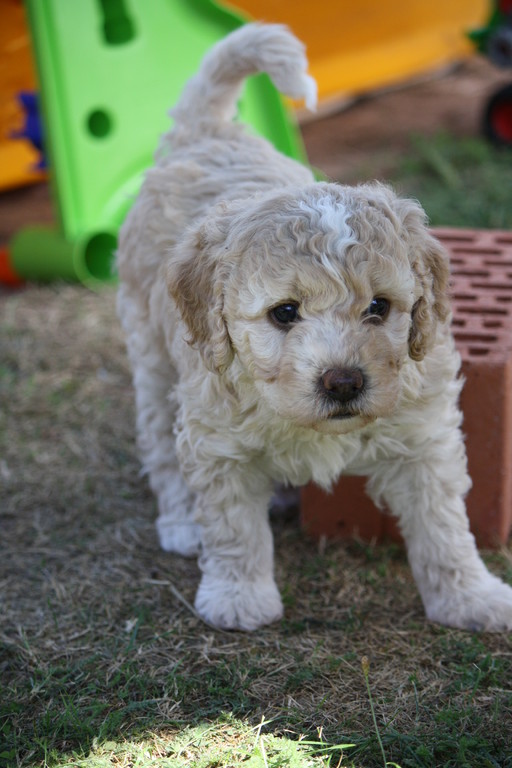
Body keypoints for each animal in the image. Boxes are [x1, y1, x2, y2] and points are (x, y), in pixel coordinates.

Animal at [118, 27, 512, 632]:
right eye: (284, 312)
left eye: (379, 306)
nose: (344, 381)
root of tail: (205, 133)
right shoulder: (218, 437)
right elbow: (234, 528)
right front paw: (238, 597)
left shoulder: (424, 436)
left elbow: (444, 526)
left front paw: (471, 596)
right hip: (152, 350)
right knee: (160, 439)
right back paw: (181, 522)